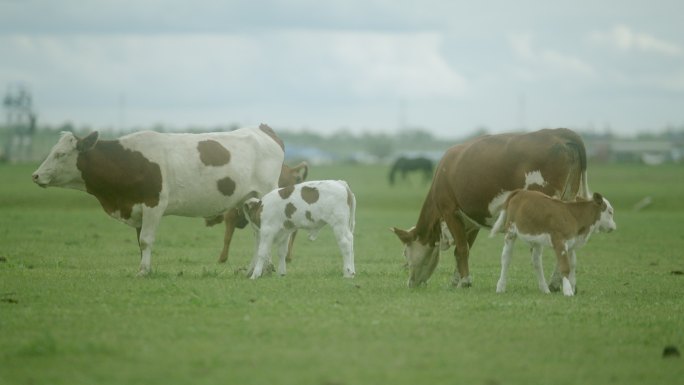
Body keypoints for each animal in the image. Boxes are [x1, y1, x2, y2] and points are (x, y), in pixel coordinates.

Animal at [31, 124, 284, 274]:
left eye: (60, 154)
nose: (35, 175)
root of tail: (262, 128)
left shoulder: (154, 204)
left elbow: (146, 240)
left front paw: (143, 271)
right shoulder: (137, 207)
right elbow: (139, 242)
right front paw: (144, 267)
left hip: (264, 195)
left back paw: (266, 268)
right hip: (248, 200)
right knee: (257, 234)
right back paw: (254, 268)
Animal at [392, 127, 592, 286]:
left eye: (405, 252)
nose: (410, 283)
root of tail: (559, 133)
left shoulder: (450, 210)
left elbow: (462, 248)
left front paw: (465, 282)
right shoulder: (471, 221)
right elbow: (463, 249)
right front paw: (456, 280)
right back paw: (559, 284)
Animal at [488, 190, 616, 296]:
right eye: (610, 211)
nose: (614, 227)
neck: (573, 215)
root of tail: (520, 191)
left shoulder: (571, 244)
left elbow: (573, 264)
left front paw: (573, 286)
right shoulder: (559, 241)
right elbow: (565, 266)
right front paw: (568, 290)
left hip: (536, 239)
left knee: (536, 262)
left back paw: (545, 289)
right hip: (511, 231)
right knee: (506, 258)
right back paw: (500, 287)